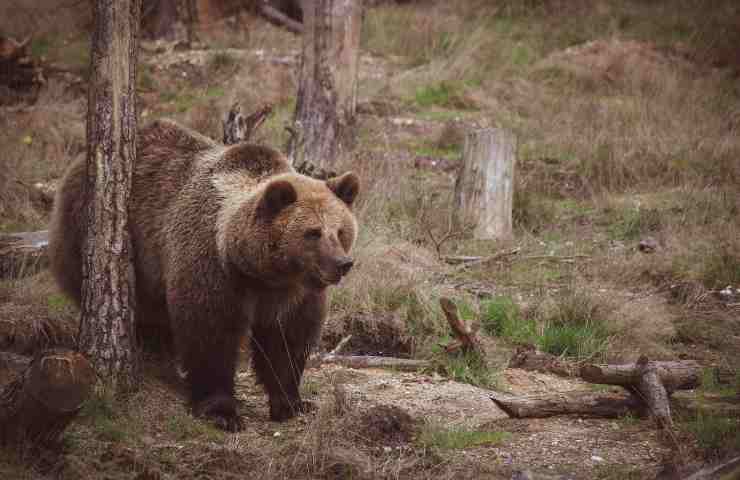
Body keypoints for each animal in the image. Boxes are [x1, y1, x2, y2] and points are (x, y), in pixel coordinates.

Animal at [47, 118, 360, 430]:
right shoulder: (212, 267)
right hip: (97, 233)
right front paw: (221, 411)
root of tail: (78, 162)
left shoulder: (297, 294)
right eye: (313, 232)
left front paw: (292, 403)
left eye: (340, 230)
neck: (262, 272)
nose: (342, 263)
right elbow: (209, 332)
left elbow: (287, 341)